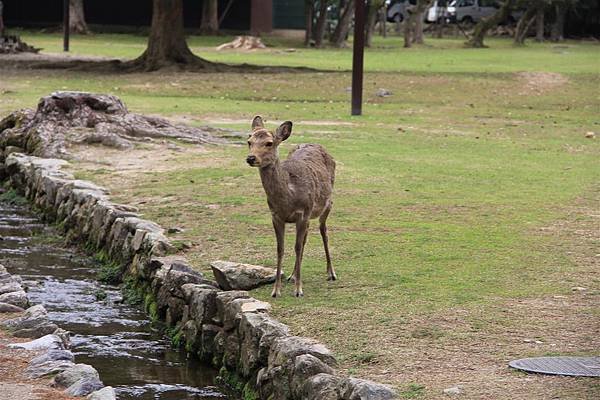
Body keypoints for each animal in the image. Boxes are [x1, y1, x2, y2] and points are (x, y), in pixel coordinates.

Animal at [245, 115, 338, 296]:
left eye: (269, 143)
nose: (251, 158)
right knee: (306, 237)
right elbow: (280, 249)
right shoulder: (276, 216)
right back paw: (293, 275)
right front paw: (276, 290)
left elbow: (297, 247)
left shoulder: (303, 213)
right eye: (249, 141)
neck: (288, 197)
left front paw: (298, 290)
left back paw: (331, 273)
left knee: (323, 232)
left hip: (327, 204)